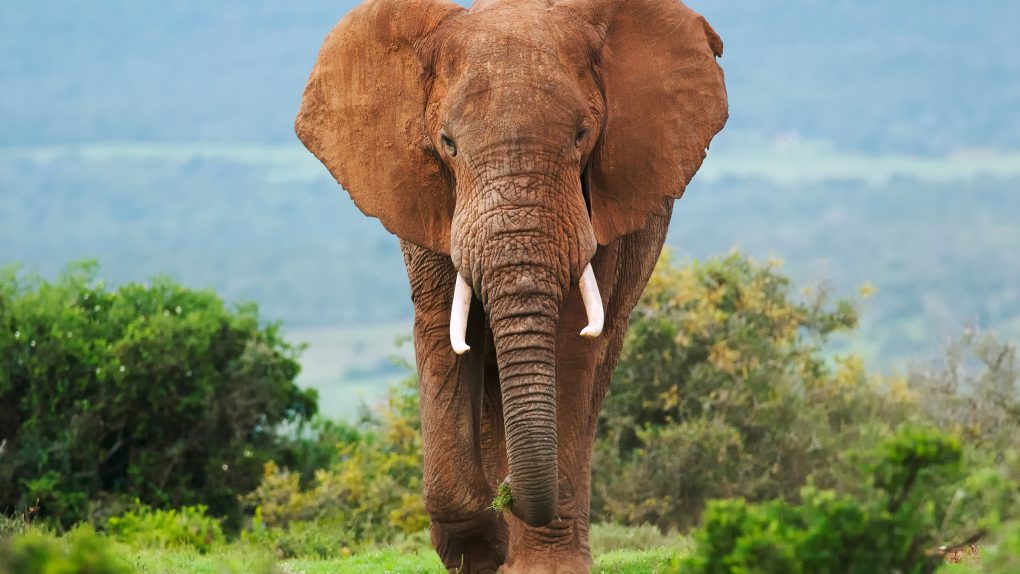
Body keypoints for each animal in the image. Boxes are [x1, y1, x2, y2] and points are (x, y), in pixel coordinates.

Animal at [295, 0, 727, 571]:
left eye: (582, 136)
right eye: (448, 144)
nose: (509, 497)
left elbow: (571, 341)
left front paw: (538, 562)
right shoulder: (431, 202)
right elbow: (443, 330)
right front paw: (481, 555)